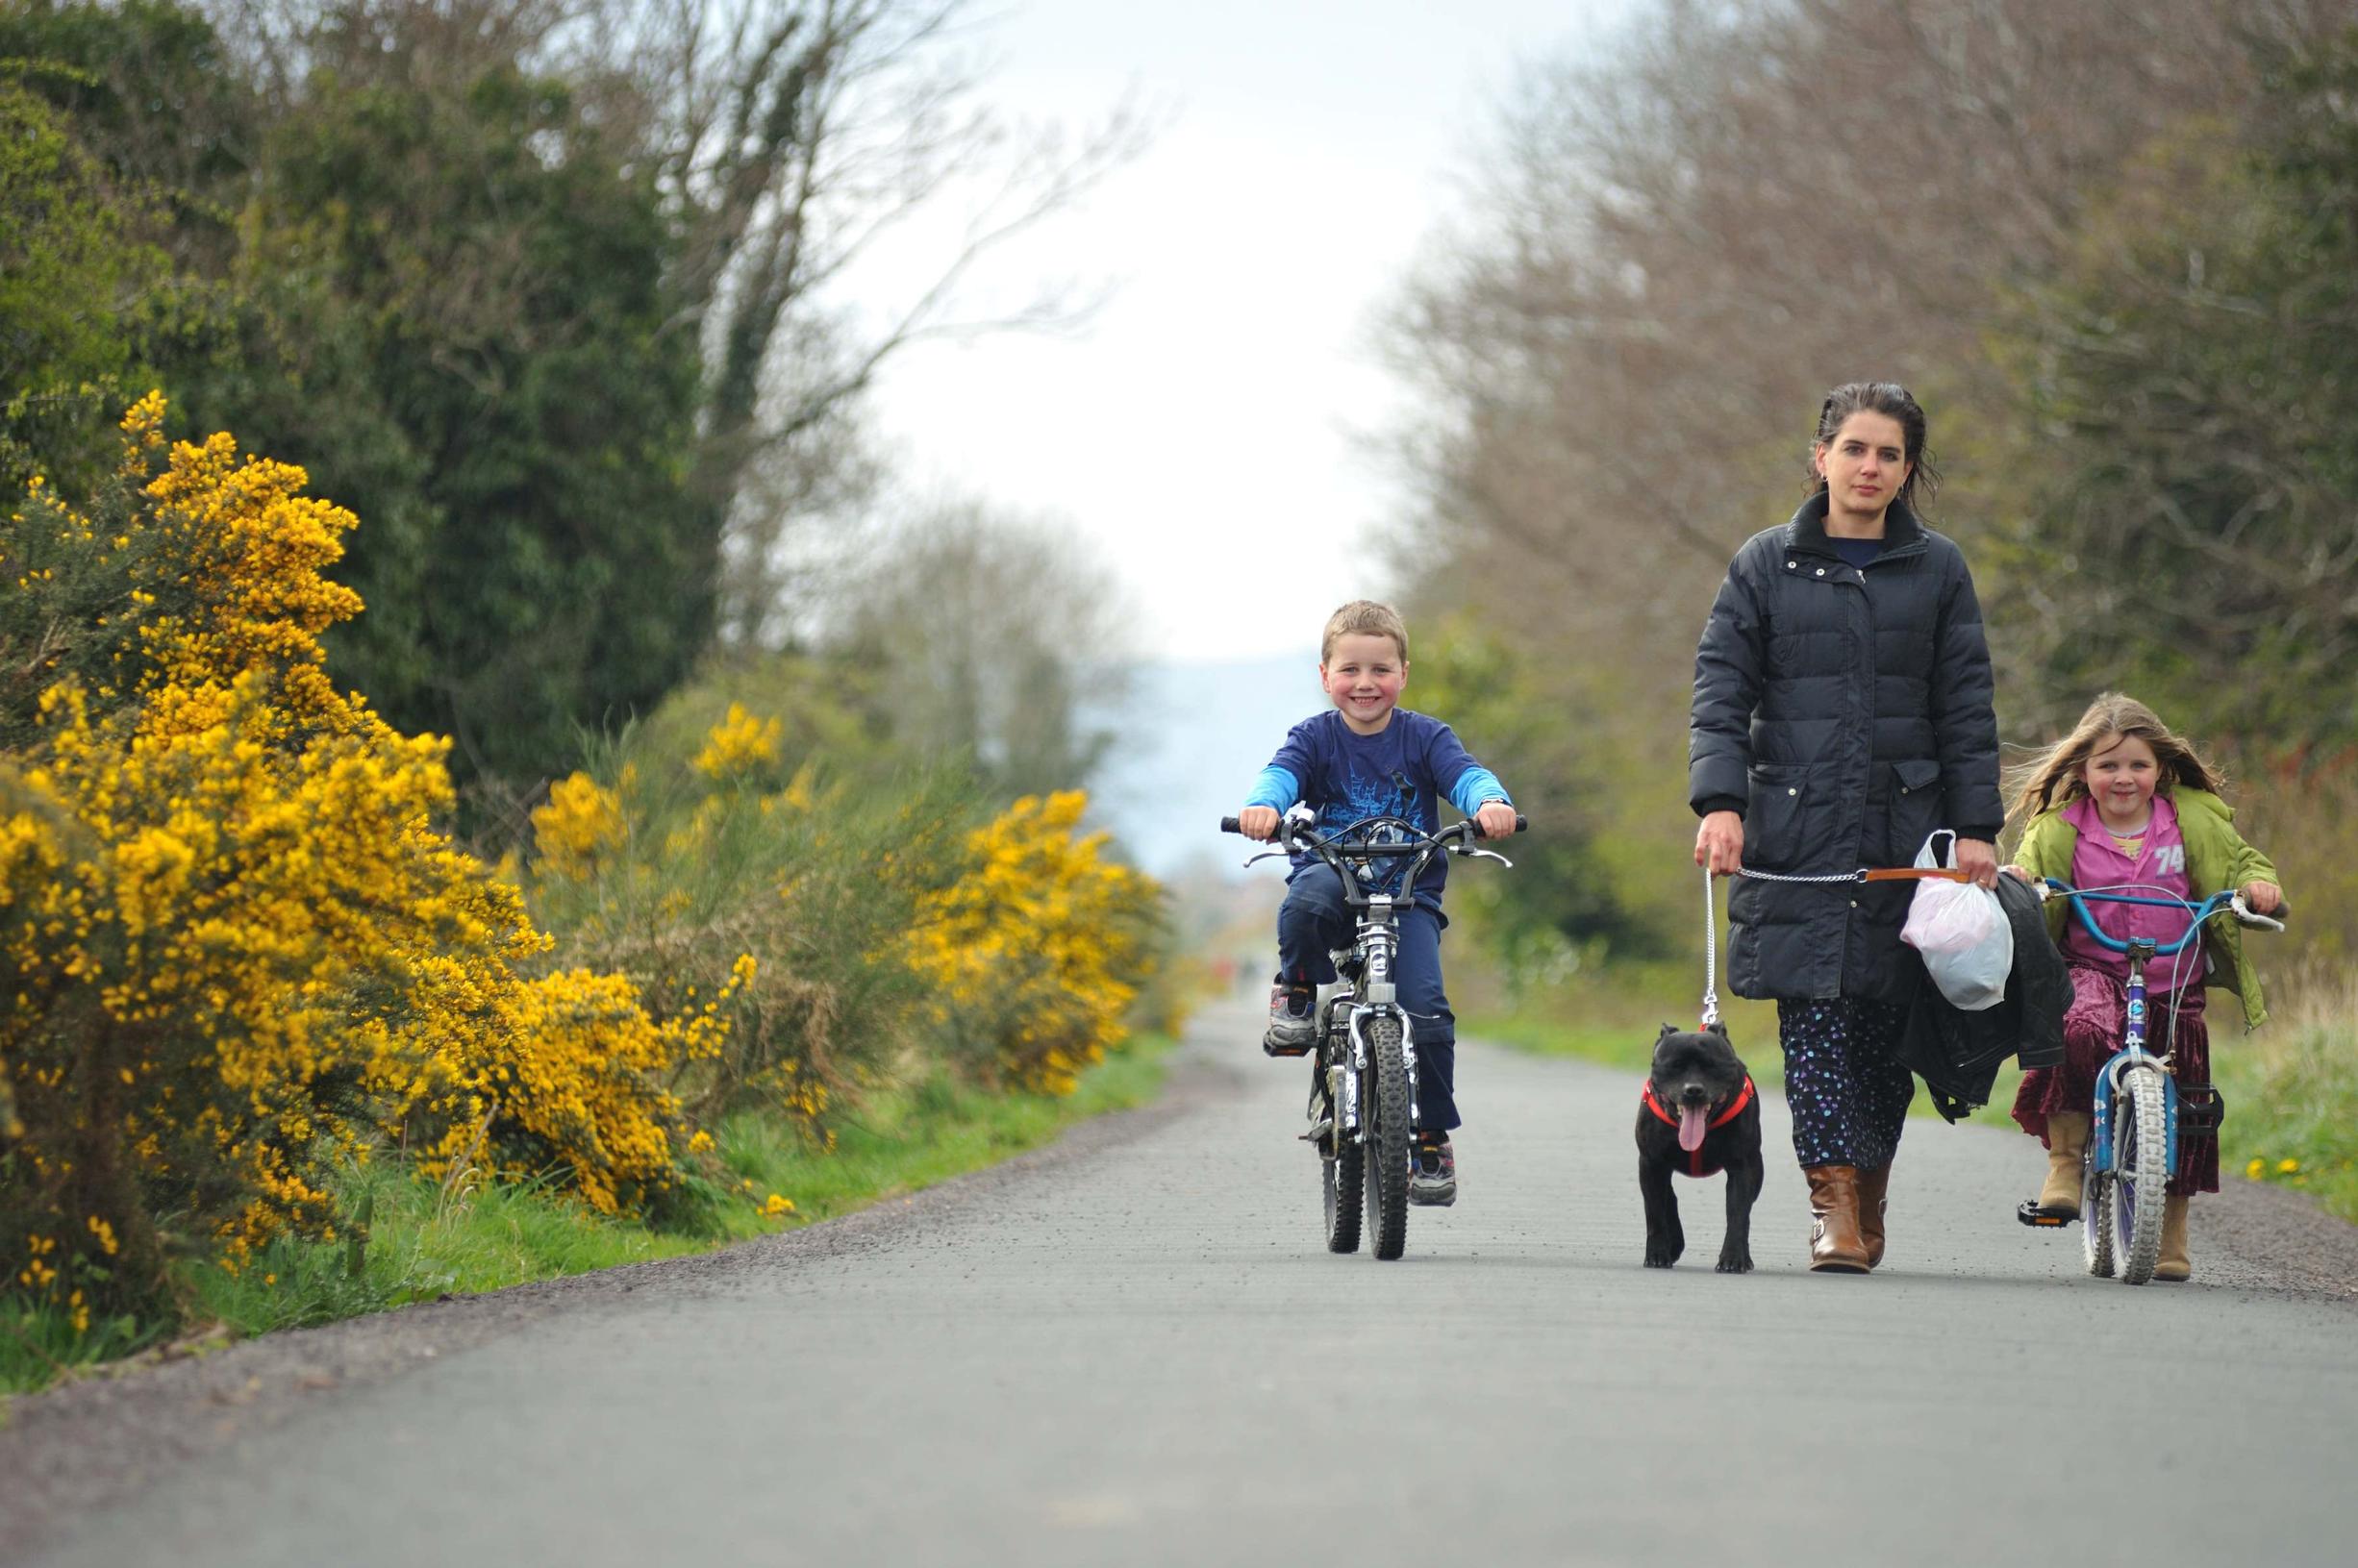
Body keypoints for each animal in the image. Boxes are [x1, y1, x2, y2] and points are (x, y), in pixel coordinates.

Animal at [1641, 1023, 1772, 1263]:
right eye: (1674, 1066)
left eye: (1712, 1066)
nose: (1693, 1089)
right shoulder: (1651, 1162)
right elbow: (1655, 1212)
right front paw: (1656, 1254)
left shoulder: (1743, 1167)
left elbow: (1738, 1214)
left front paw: (1733, 1259)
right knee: (1668, 1199)